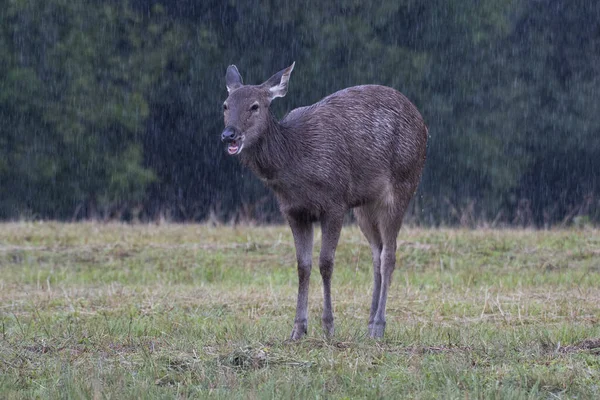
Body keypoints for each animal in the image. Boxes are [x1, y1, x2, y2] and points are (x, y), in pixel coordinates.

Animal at [220, 61, 426, 338]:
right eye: (225, 105)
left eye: (255, 106)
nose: (229, 134)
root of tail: (423, 123)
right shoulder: (293, 211)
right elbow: (303, 266)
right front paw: (298, 329)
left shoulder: (335, 202)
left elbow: (325, 263)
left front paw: (328, 326)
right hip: (365, 205)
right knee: (377, 252)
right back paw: (369, 322)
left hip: (403, 185)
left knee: (389, 255)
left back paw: (379, 326)